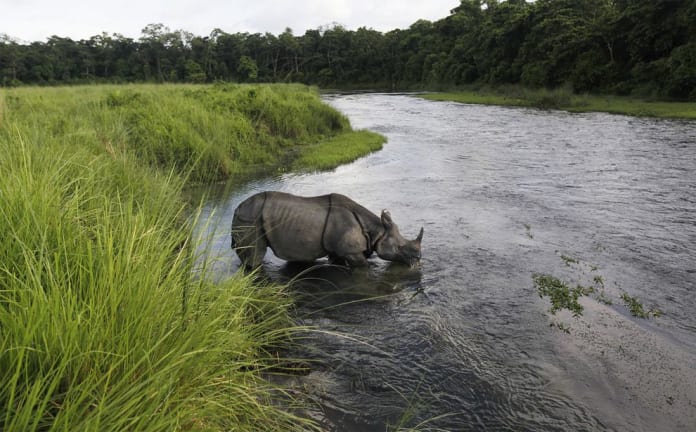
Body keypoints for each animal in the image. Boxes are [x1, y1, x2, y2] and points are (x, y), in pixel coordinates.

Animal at [231, 192, 422, 268]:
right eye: (400, 247)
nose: (418, 259)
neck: (376, 231)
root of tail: (237, 208)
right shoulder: (351, 251)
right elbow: (363, 266)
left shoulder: (339, 250)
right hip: (250, 220)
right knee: (255, 256)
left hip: (249, 218)